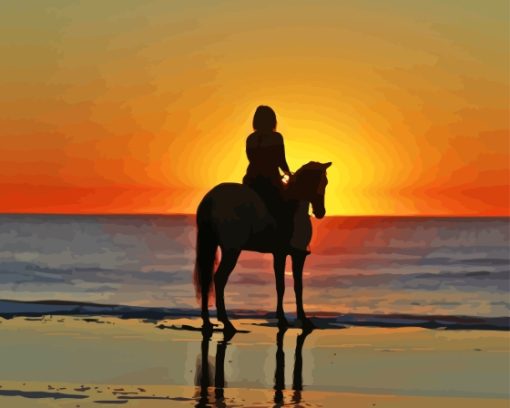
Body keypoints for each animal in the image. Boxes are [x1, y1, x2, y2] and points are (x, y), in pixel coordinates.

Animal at [193, 161, 332, 334]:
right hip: (232, 250)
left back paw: (207, 322)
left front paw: (285, 319)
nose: (320, 212)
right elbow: (293, 286)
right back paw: (226, 322)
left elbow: (283, 286)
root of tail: (211, 198)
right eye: (318, 182)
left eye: (325, 183)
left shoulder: (281, 254)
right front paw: (301, 320)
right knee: (219, 278)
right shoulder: (294, 255)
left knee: (207, 279)